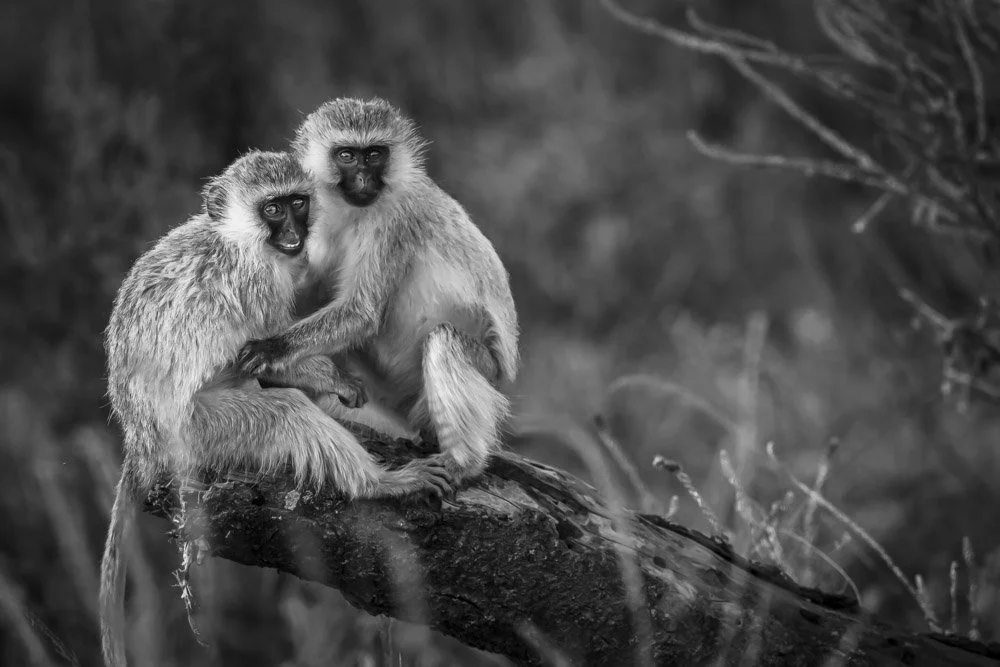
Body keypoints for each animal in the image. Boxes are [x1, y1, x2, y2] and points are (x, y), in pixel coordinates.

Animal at [99, 150, 453, 667]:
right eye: (272, 209)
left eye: (298, 202)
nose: (293, 232)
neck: (235, 240)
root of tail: (139, 439)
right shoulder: (257, 283)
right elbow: (256, 359)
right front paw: (327, 377)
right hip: (199, 431)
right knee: (285, 411)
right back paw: (377, 484)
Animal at [237, 97, 519, 484]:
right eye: (346, 155)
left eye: (374, 155)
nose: (362, 178)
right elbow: (311, 294)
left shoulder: (393, 219)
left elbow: (362, 311)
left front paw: (270, 348)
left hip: (483, 372)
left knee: (444, 340)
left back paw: (462, 462)